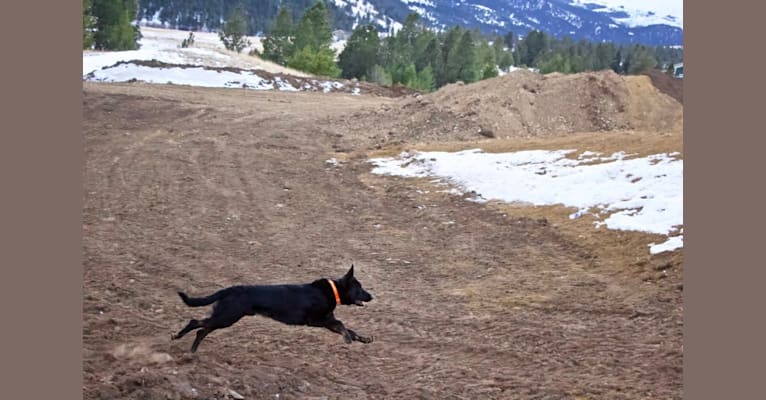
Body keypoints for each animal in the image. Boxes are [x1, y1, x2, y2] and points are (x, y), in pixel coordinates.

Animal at [172, 266, 376, 354]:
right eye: (359, 287)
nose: (372, 296)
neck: (332, 291)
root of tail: (231, 289)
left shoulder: (326, 321)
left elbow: (350, 329)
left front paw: (363, 339)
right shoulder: (317, 321)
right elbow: (343, 325)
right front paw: (348, 339)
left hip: (225, 317)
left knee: (202, 330)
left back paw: (192, 351)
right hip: (227, 317)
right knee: (197, 323)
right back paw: (179, 338)